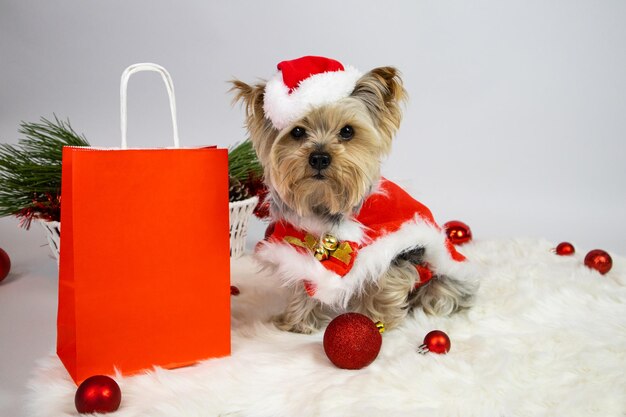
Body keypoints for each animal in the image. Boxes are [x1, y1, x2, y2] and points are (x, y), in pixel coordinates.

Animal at [232, 56, 476, 334]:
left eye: (347, 131)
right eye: (297, 132)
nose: (319, 157)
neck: (324, 204)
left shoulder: (390, 248)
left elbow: (385, 281)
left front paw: (374, 321)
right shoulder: (295, 244)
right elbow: (304, 280)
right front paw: (298, 322)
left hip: (443, 275)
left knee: (441, 293)